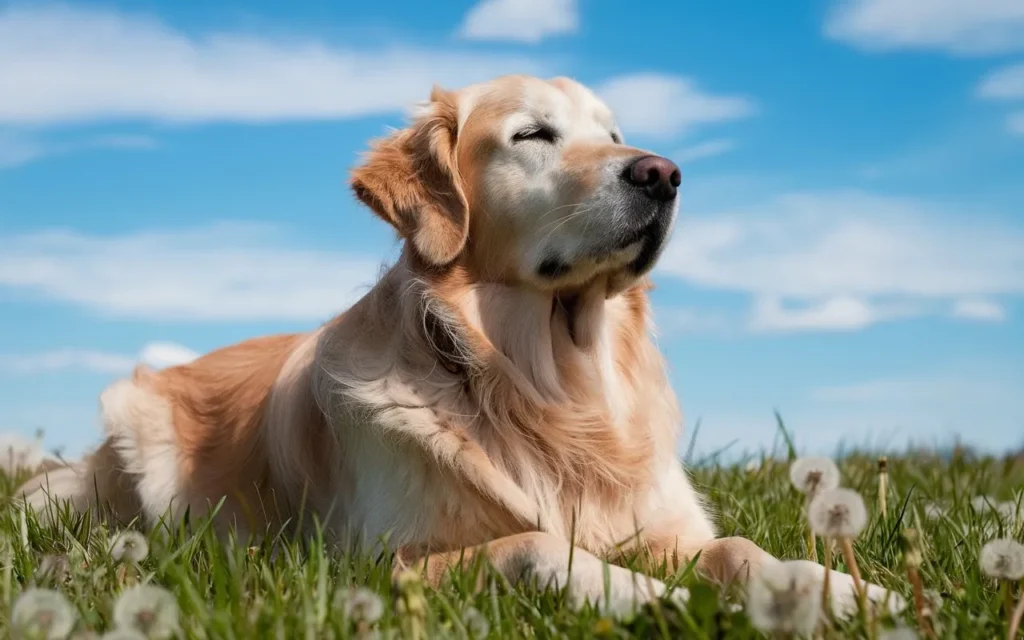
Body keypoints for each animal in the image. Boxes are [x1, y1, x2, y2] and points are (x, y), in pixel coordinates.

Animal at [19, 73, 905, 614]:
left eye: (616, 132)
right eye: (534, 135)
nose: (662, 173)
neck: (552, 391)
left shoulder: (670, 528)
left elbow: (744, 548)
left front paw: (853, 594)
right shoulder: (376, 563)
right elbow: (538, 542)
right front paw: (656, 599)